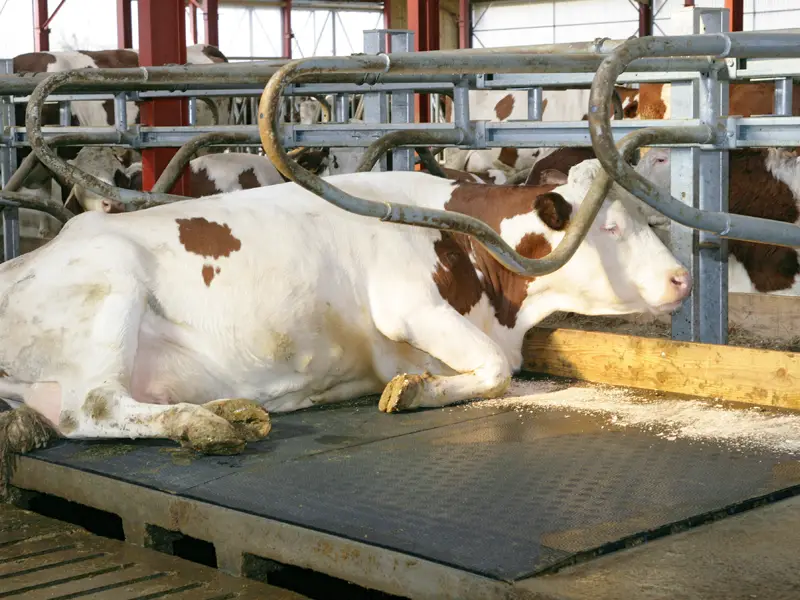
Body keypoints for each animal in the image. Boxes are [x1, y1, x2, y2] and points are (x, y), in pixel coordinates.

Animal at [0, 160, 691, 482]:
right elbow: (496, 369)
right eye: (610, 227)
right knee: (91, 408)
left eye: (644, 217)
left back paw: (229, 411)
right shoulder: (406, 304)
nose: (682, 278)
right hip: (110, 288)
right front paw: (414, 393)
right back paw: (203, 424)